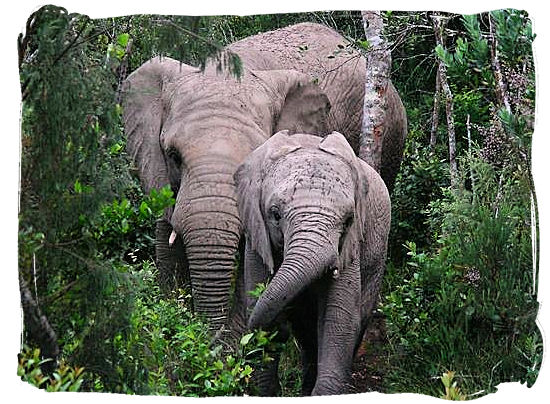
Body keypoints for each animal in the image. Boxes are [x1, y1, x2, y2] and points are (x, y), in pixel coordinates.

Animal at [233, 132, 392, 394]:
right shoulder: (256, 240)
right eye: (275, 214)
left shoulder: (349, 248)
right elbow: (258, 305)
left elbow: (338, 319)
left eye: (349, 220)